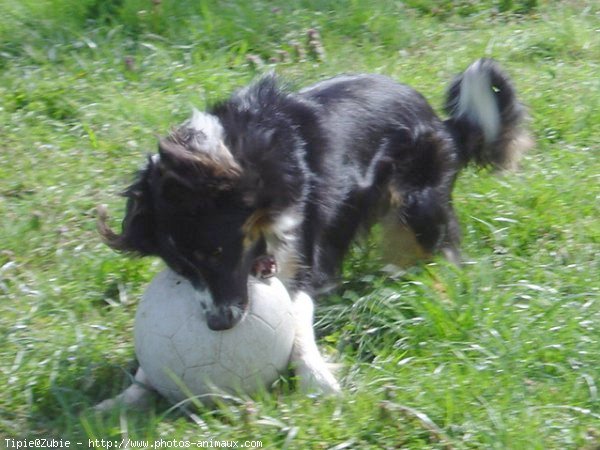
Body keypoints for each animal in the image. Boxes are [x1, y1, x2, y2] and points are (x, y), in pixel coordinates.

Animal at [99, 58, 536, 406]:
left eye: (217, 253)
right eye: (180, 269)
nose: (219, 325)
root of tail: (442, 123)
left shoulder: (302, 257)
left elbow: (295, 322)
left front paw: (317, 380)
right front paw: (128, 396)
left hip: (416, 204)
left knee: (440, 252)